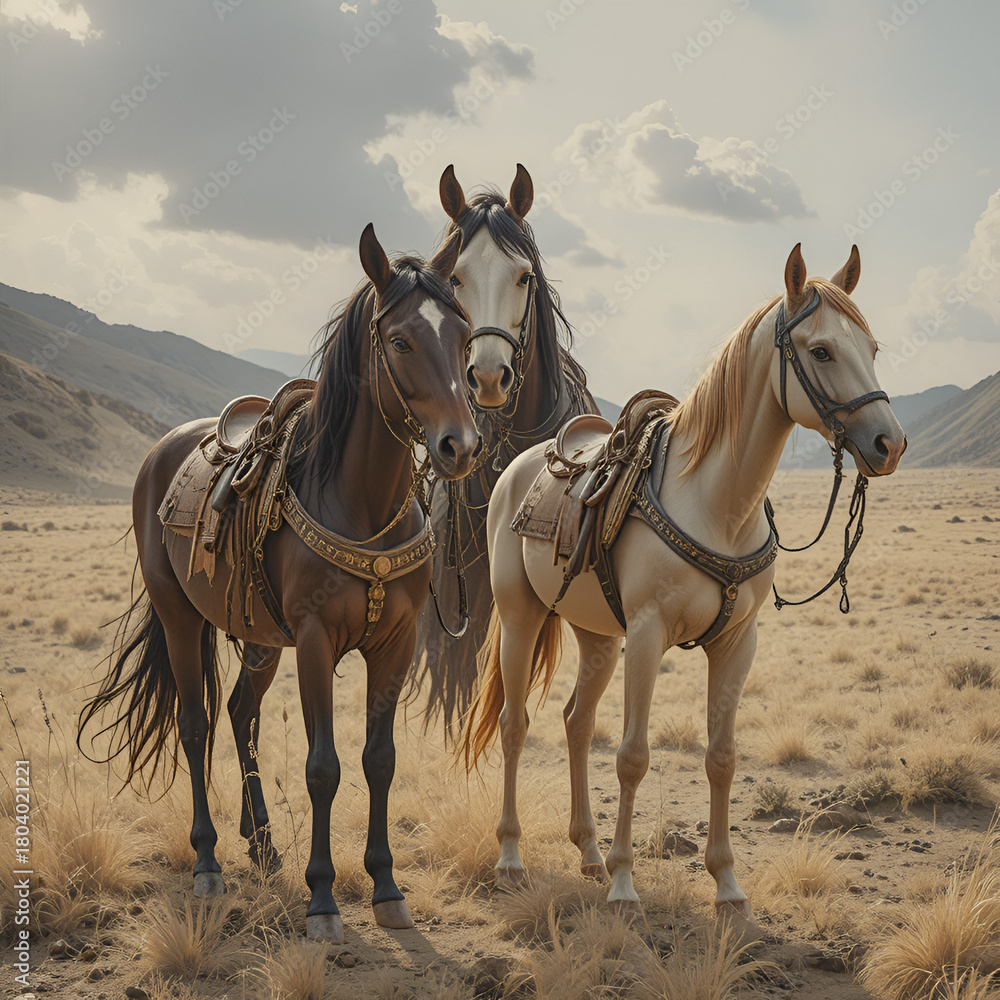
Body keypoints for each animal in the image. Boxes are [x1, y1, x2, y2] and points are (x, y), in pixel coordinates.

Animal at [79, 224, 481, 943]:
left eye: (464, 338)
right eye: (401, 341)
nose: (460, 446)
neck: (361, 505)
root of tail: (160, 454)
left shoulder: (396, 644)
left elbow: (380, 759)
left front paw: (386, 887)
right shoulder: (317, 640)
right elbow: (323, 767)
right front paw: (322, 899)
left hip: (261, 638)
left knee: (241, 713)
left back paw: (262, 841)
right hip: (180, 618)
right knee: (196, 724)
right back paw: (208, 859)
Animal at [460, 244, 907, 926]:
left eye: (873, 346)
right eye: (823, 351)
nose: (889, 443)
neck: (716, 503)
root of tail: (519, 465)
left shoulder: (737, 643)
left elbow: (721, 758)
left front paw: (727, 887)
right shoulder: (648, 635)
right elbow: (633, 756)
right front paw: (625, 886)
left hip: (597, 637)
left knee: (574, 723)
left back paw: (588, 852)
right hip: (520, 618)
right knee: (514, 725)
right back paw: (512, 857)